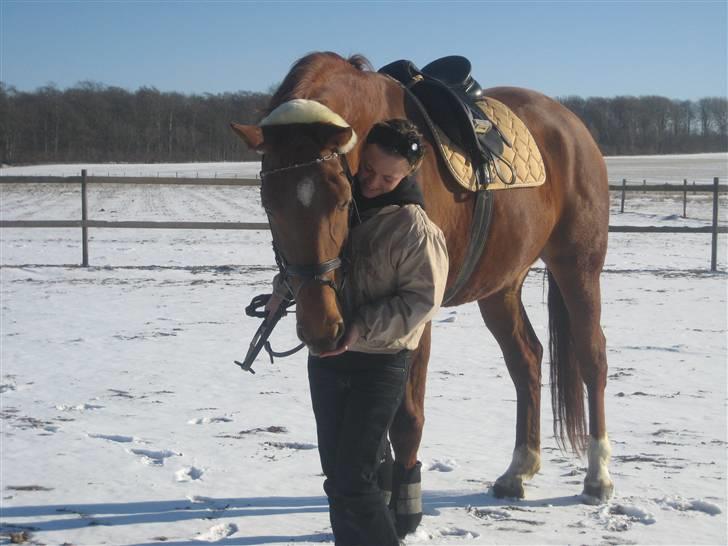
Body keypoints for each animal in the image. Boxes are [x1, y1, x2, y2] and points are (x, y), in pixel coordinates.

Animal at [232, 53, 616, 524]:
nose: (320, 328)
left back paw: (597, 477)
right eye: (268, 203)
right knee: (526, 360)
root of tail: (571, 124)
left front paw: (405, 509)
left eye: (340, 198)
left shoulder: (418, 317)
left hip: (578, 266)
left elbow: (406, 419)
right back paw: (519, 470)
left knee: (592, 358)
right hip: (501, 287)